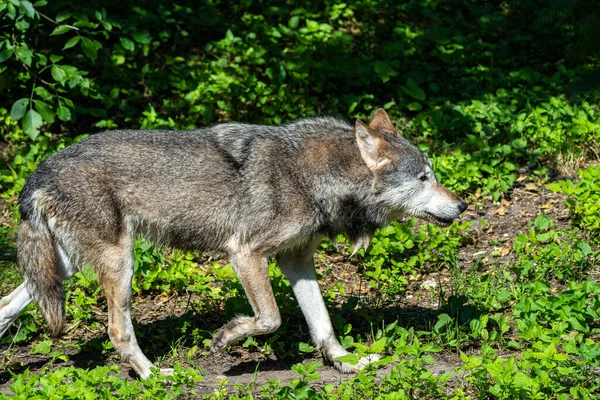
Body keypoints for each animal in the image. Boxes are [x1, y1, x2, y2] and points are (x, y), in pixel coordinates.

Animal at [0, 109, 466, 378]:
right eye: (423, 178)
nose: (462, 205)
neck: (313, 177)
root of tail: (38, 172)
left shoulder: (296, 260)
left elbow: (323, 323)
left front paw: (346, 362)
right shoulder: (245, 254)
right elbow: (271, 319)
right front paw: (227, 339)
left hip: (63, 269)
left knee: (8, 304)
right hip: (119, 264)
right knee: (118, 330)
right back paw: (154, 377)